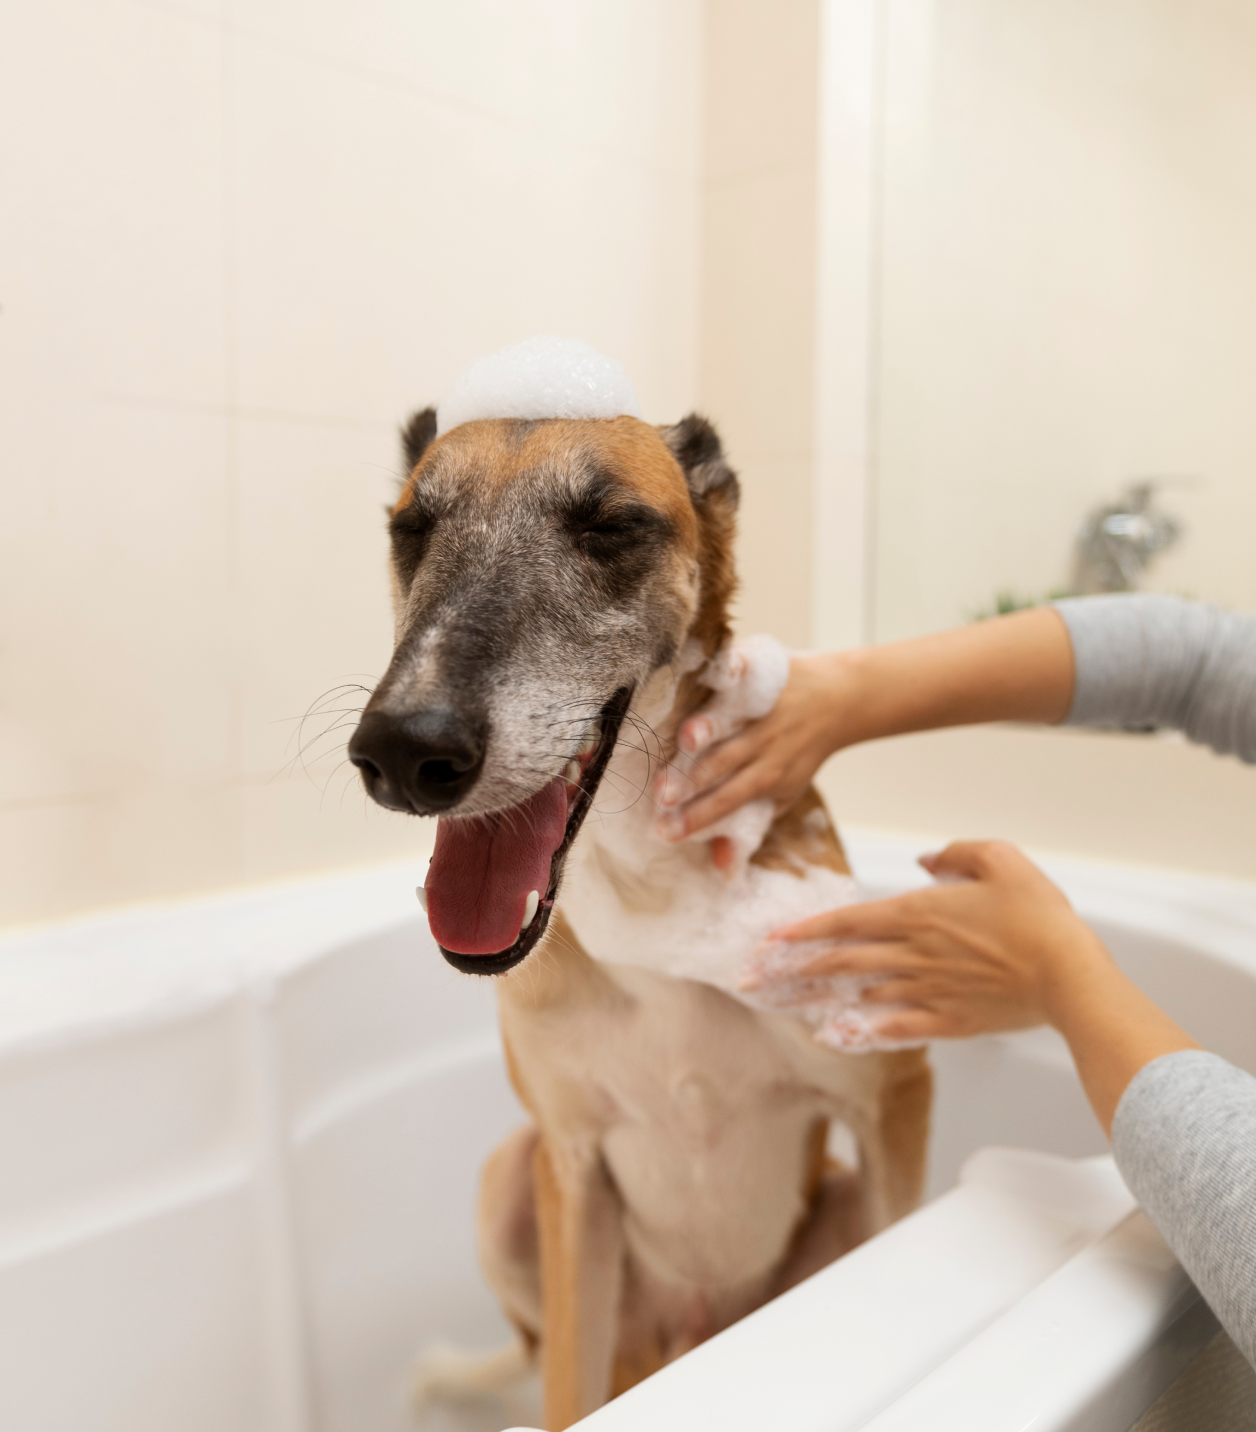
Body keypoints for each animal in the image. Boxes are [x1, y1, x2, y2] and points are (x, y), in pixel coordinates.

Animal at [348, 406, 928, 1432]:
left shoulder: (893, 1098)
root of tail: (682, 1350)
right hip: (515, 1185)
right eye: (411, 527)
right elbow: (565, 1382)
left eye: (611, 524)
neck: (648, 886)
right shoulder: (574, 1169)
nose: (404, 752)